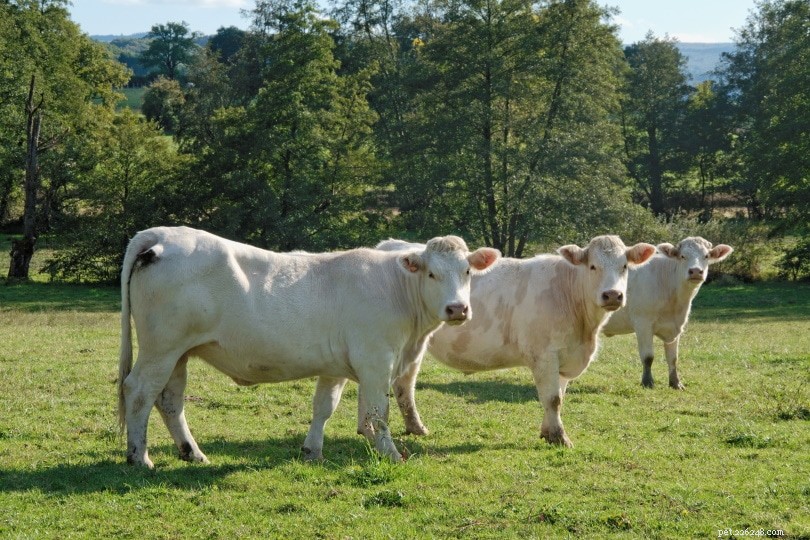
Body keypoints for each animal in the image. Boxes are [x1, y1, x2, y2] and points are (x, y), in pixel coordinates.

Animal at [118, 226, 500, 468]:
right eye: (432, 274)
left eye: (467, 271)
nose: (457, 309)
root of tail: (161, 233)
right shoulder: (376, 360)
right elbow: (379, 412)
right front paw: (391, 454)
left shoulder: (336, 367)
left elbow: (324, 407)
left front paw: (312, 451)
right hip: (161, 348)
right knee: (138, 392)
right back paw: (140, 458)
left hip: (178, 354)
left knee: (170, 401)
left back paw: (192, 453)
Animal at [379, 235, 656, 447]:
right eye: (593, 266)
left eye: (624, 266)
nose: (613, 295)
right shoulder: (545, 355)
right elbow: (552, 398)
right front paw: (560, 438)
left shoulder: (564, 358)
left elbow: (557, 397)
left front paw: (547, 433)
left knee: (404, 385)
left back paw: (416, 428)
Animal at [602, 237, 733, 389]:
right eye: (682, 256)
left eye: (706, 256)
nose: (695, 271)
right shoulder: (643, 323)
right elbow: (648, 356)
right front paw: (647, 382)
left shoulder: (675, 327)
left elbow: (673, 358)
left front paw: (676, 383)